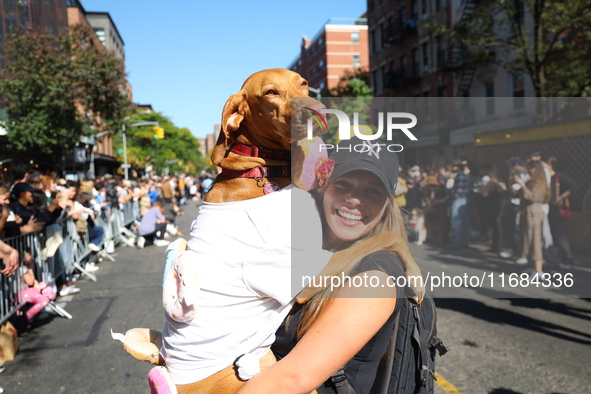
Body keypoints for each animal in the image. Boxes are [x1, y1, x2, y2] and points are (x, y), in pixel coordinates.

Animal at [117, 70, 426, 394]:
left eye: (303, 83)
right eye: (270, 93)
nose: (317, 110)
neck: (260, 172)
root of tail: (170, 373)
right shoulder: (308, 274)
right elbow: (387, 236)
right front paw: (416, 278)